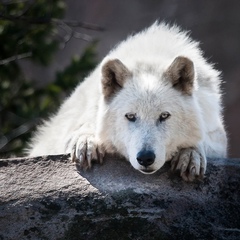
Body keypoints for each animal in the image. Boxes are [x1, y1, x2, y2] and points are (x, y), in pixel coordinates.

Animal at [28, 22, 227, 181]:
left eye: (164, 116)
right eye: (130, 116)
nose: (145, 158)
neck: (150, 57)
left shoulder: (217, 135)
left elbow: (203, 139)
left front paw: (191, 154)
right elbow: (82, 129)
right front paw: (86, 142)